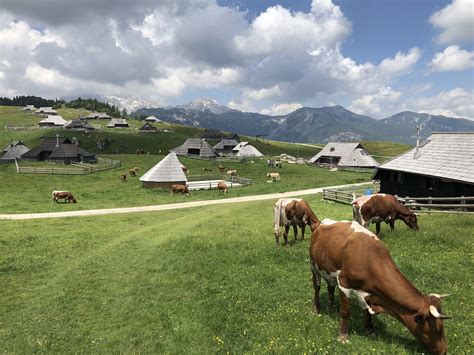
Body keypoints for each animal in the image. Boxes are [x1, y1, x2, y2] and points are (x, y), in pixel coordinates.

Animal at [310, 221, 450, 354]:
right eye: (439, 329)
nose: (444, 351)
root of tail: (320, 223)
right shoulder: (344, 283)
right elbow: (345, 311)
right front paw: (343, 336)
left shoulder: (369, 293)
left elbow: (367, 312)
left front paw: (370, 329)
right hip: (314, 266)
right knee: (317, 287)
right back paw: (316, 308)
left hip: (329, 271)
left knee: (330, 286)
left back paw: (332, 306)